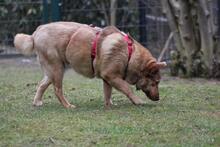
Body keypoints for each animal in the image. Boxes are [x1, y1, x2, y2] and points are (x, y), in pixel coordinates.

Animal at [13, 22, 166, 109]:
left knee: (41, 84)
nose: (159, 98)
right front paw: (137, 101)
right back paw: (67, 105)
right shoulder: (112, 76)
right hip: (57, 69)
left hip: (52, 71)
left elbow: (107, 93)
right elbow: (127, 88)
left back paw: (37, 102)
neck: (129, 54)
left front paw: (109, 105)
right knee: (57, 90)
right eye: (156, 83)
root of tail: (36, 32)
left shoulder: (107, 79)